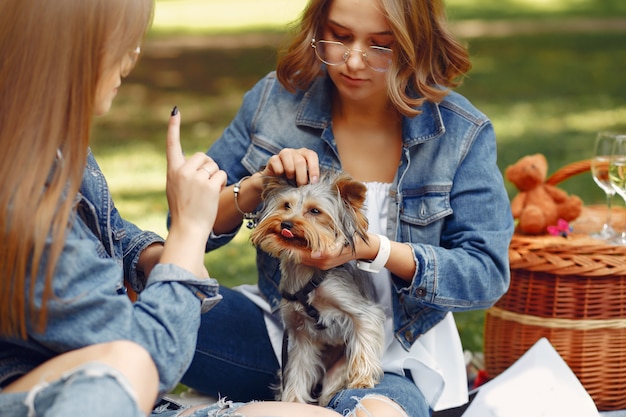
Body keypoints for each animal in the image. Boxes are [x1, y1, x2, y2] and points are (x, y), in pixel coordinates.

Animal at [250, 171, 386, 404]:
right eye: (286, 205)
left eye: (315, 211)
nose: (286, 224)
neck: (306, 274)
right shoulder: (301, 335)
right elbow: (298, 371)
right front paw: (292, 402)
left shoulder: (356, 306)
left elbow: (364, 337)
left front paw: (362, 380)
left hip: (336, 373)